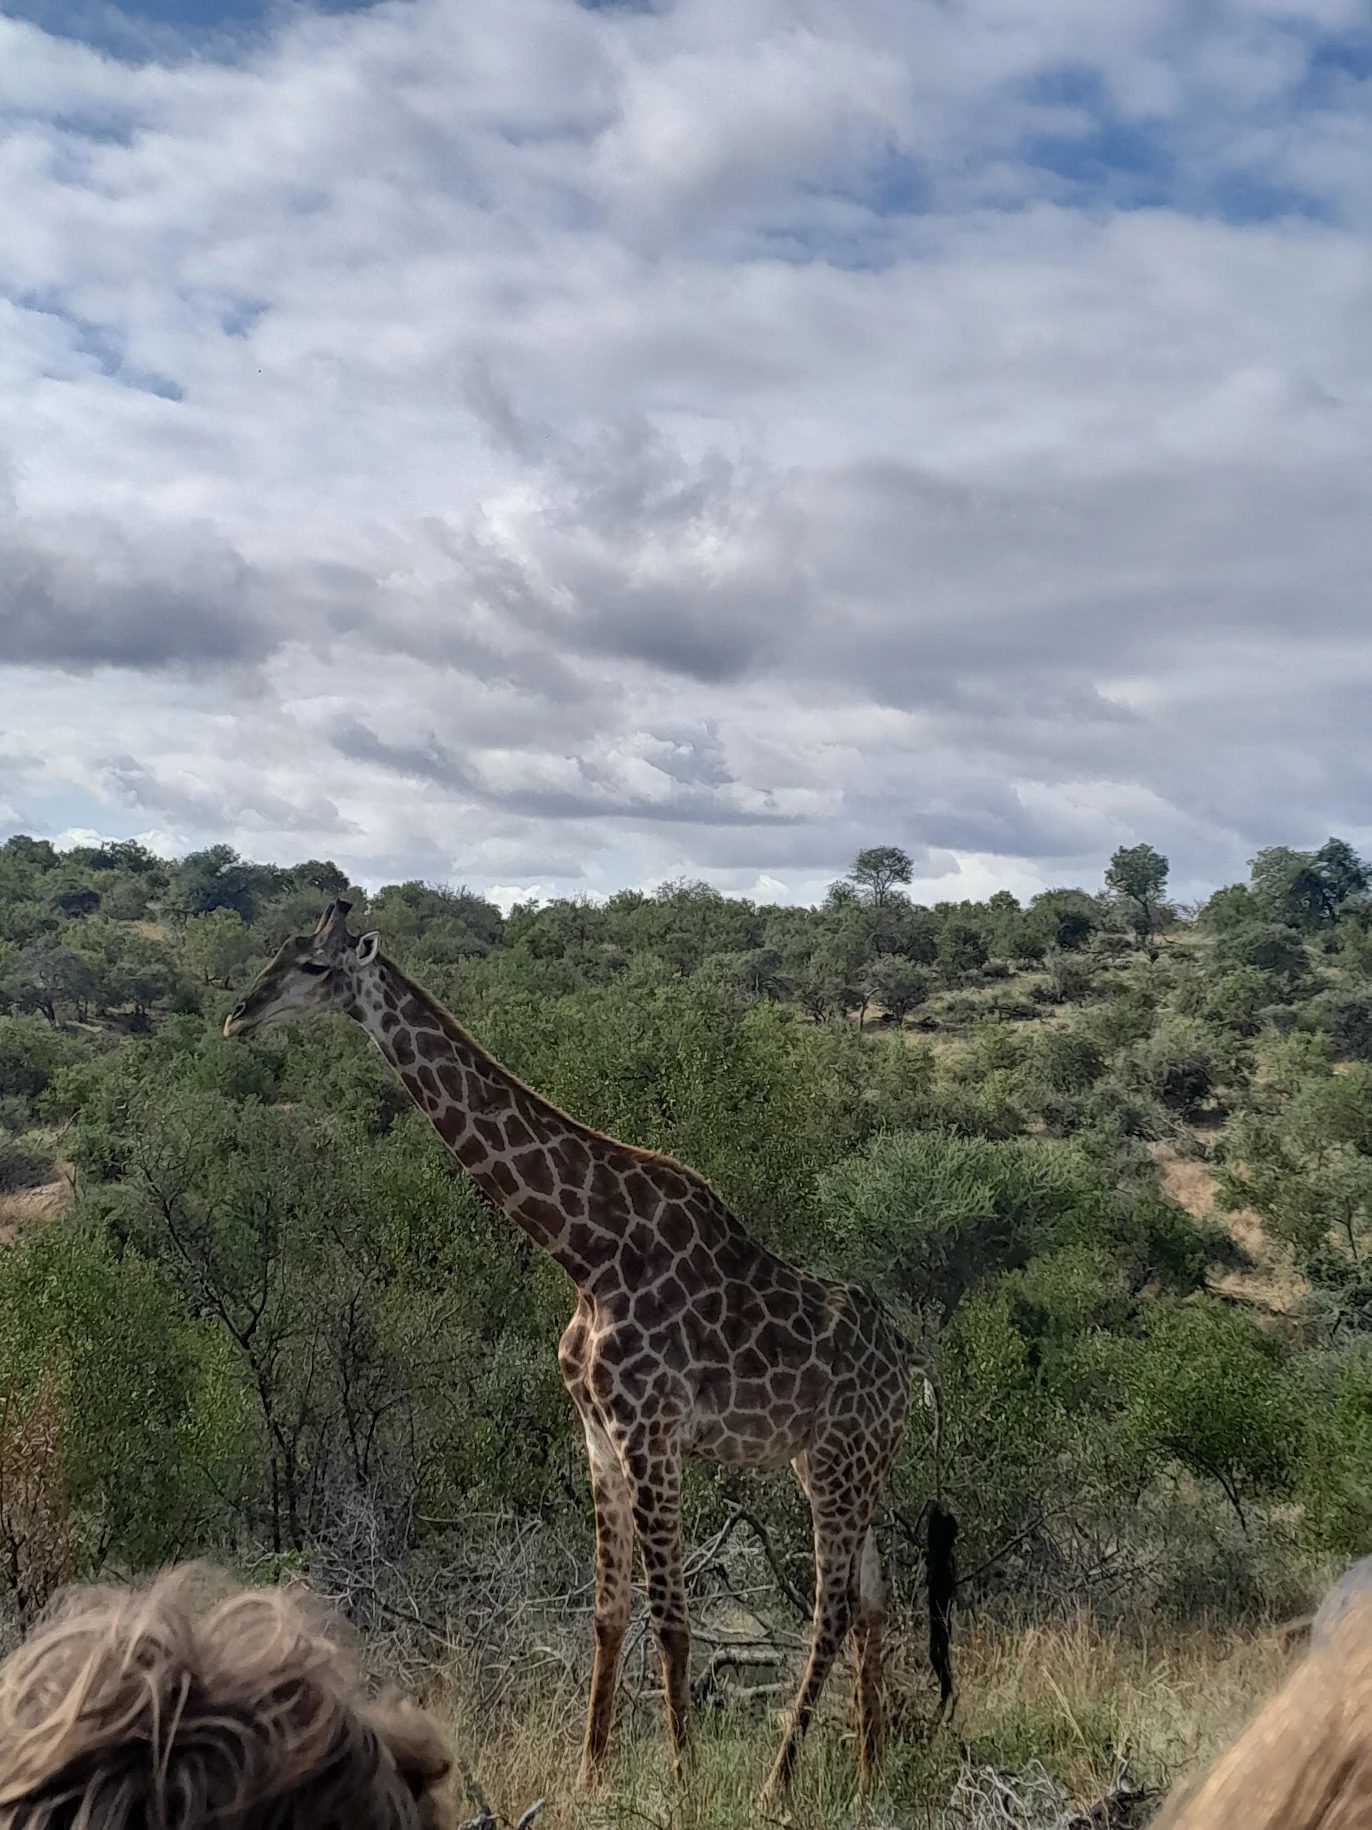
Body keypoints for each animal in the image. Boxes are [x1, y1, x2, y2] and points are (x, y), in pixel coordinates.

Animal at [225, 900, 948, 1799]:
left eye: (316, 968)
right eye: (280, 950)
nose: (238, 1015)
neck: (586, 1251)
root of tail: (910, 1366)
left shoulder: (651, 1431)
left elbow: (672, 1618)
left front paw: (680, 1780)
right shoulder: (598, 1433)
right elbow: (607, 1613)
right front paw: (587, 1775)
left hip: (837, 1464)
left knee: (833, 1605)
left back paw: (778, 1780)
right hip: (848, 1462)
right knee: (875, 1597)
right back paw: (868, 1771)